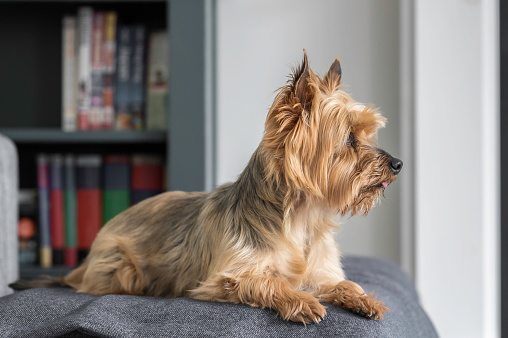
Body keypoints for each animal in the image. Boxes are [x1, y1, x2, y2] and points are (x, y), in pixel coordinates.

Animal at [9, 51, 400, 324]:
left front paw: (364, 298)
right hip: (120, 266)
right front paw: (300, 300)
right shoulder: (224, 279)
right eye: (349, 139)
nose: (397, 164)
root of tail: (87, 257)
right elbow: (269, 281)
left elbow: (340, 283)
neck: (301, 216)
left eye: (367, 134)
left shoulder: (319, 272)